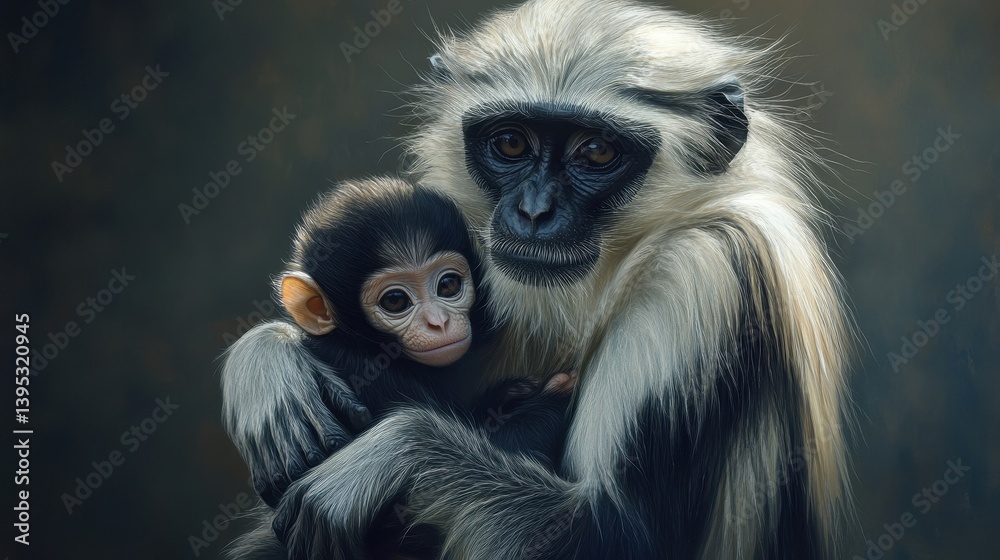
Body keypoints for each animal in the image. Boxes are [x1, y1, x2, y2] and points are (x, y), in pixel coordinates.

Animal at [221, 176, 575, 559]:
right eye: (395, 301)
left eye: (448, 285)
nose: (438, 322)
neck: (363, 345)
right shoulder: (365, 372)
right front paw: (545, 403)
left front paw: (508, 396)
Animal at [257, 1, 854, 559]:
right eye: (511, 144)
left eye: (597, 151)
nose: (534, 211)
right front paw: (268, 361)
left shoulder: (702, 268)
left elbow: (616, 536)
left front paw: (396, 448)